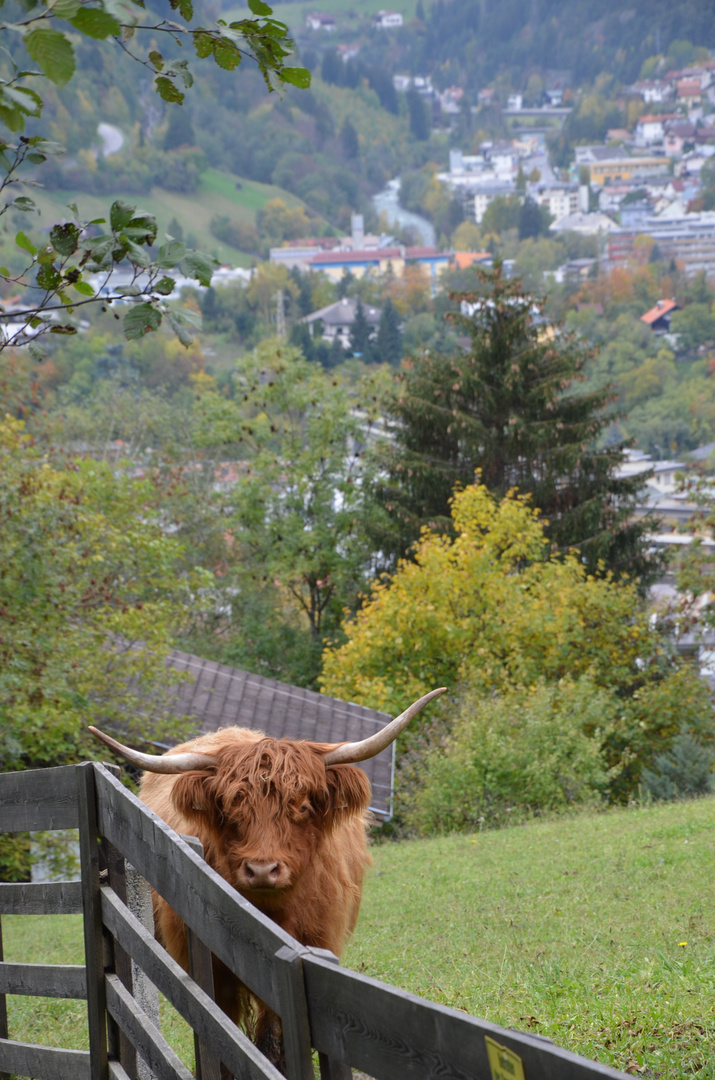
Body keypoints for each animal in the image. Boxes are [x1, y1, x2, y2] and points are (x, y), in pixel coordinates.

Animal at [92, 686, 444, 1067]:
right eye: (230, 807)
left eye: (302, 806)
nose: (262, 870)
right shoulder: (213, 974)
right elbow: (222, 1038)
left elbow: (273, 1041)